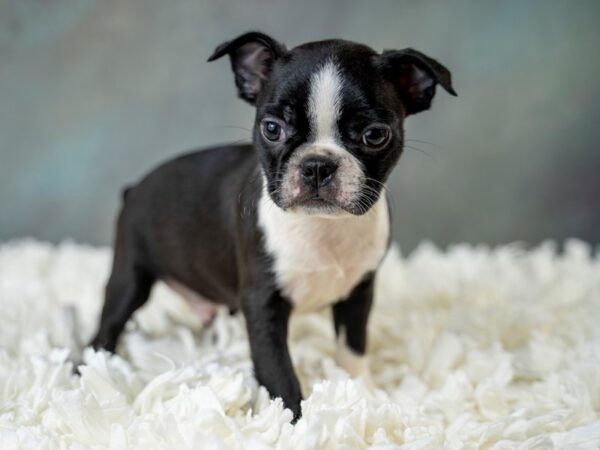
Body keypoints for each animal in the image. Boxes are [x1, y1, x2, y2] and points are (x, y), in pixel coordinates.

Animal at [90, 32, 454, 422]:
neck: (322, 227)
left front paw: (365, 393)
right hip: (130, 274)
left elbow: (353, 348)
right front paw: (293, 420)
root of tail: (134, 188)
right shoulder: (262, 301)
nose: (317, 165)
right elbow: (278, 369)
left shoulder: (359, 291)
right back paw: (94, 370)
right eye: (272, 129)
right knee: (107, 325)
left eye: (374, 135)